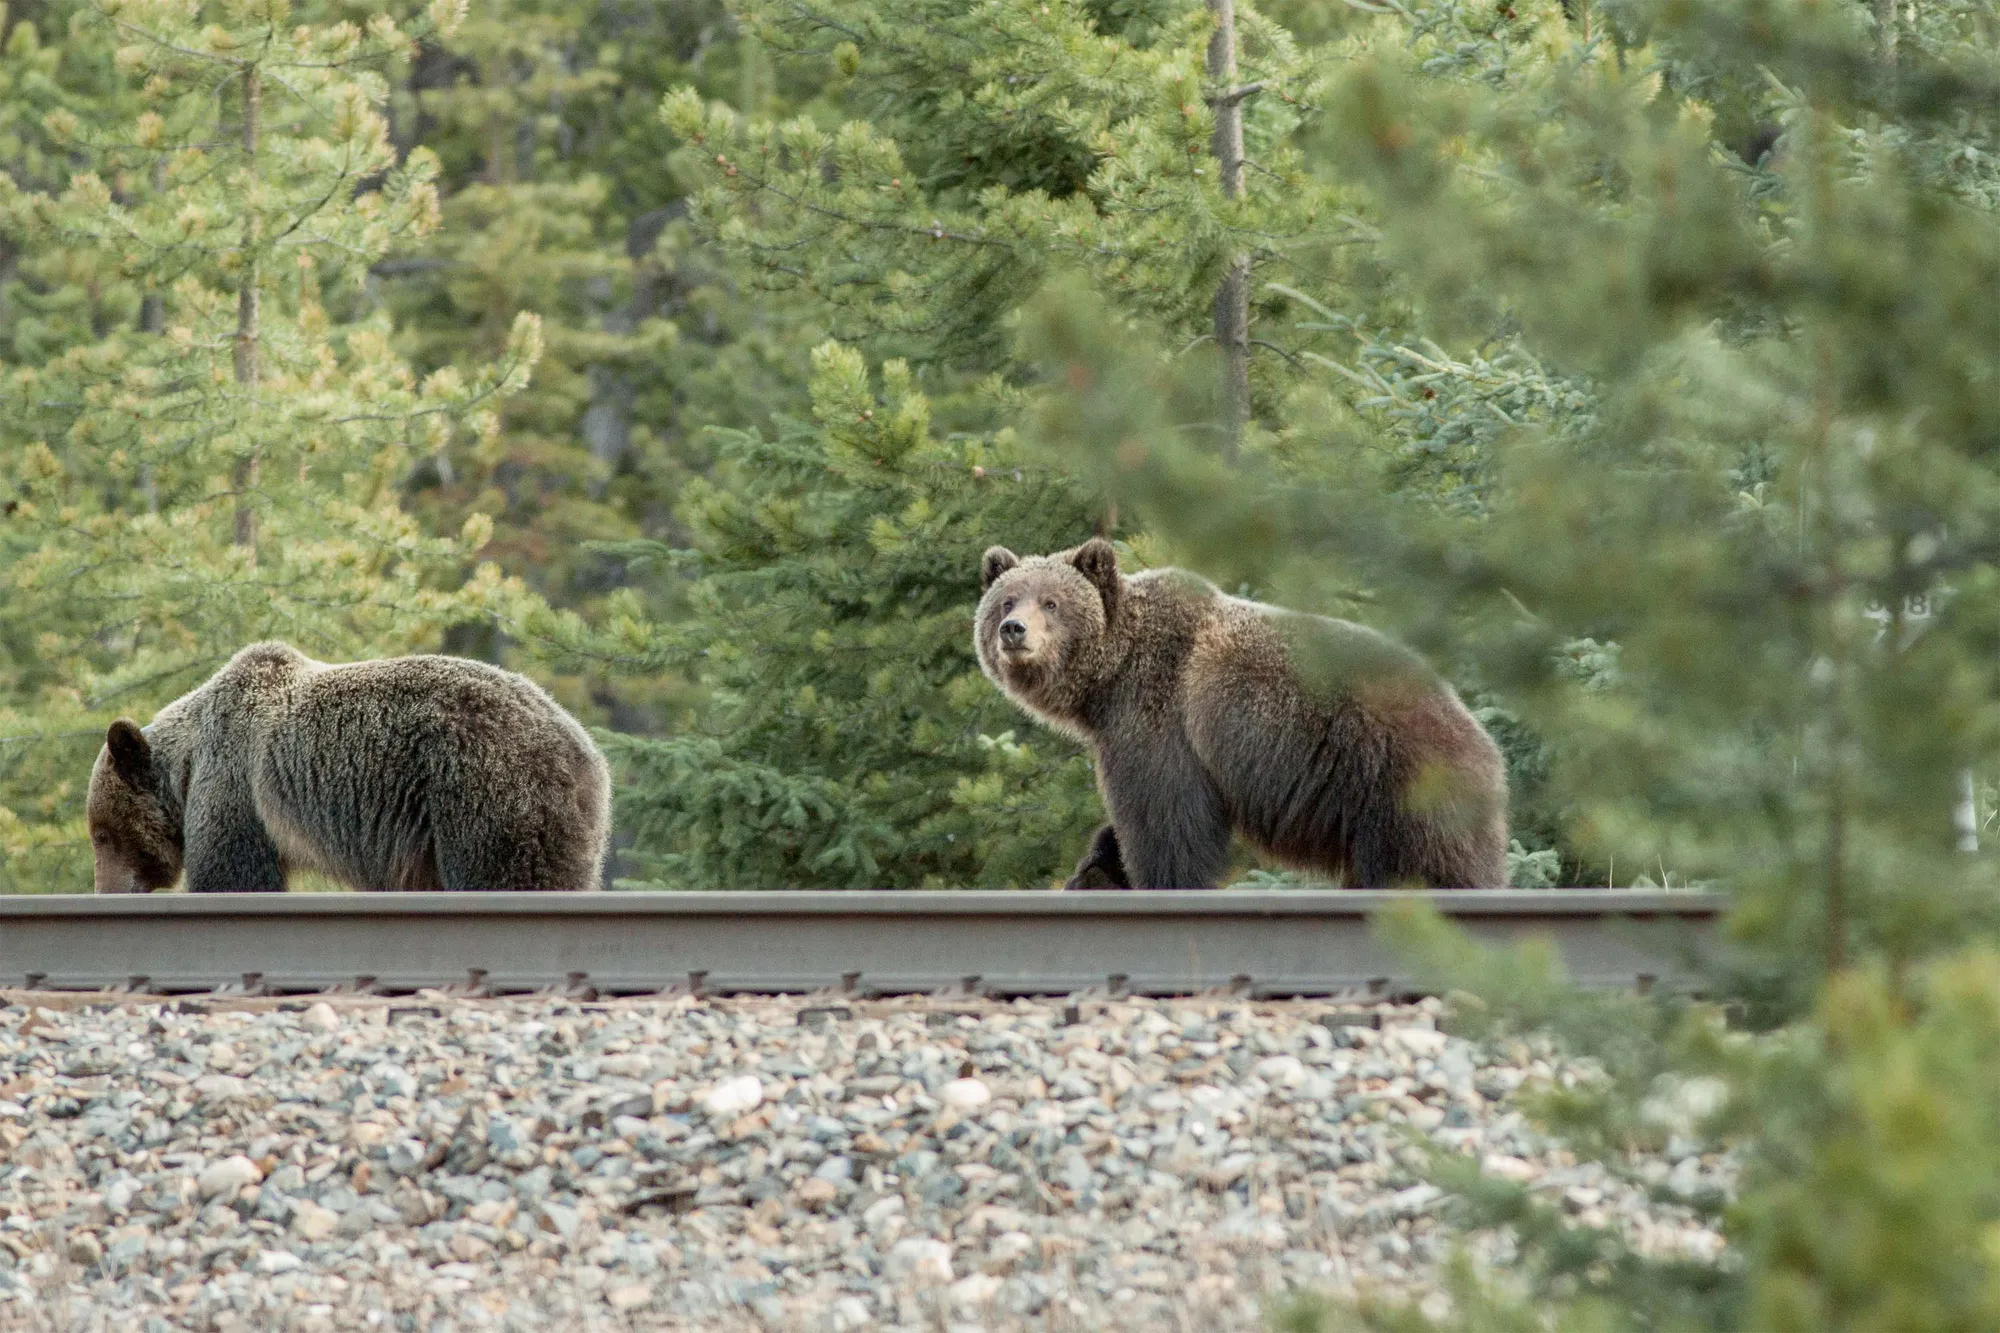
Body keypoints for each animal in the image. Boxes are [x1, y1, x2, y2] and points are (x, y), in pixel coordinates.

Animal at [85, 641, 611, 894]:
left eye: (103, 835)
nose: (107, 890)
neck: (188, 765)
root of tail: (589, 755)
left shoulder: (235, 785)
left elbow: (233, 873)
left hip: (486, 789)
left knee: (506, 874)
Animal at [975, 539, 1509, 890]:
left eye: (1052, 602)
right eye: (1006, 599)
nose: (1014, 629)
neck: (1109, 681)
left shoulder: (1160, 717)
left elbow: (1164, 819)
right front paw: (1098, 867)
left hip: (1399, 778)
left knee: (1427, 866)